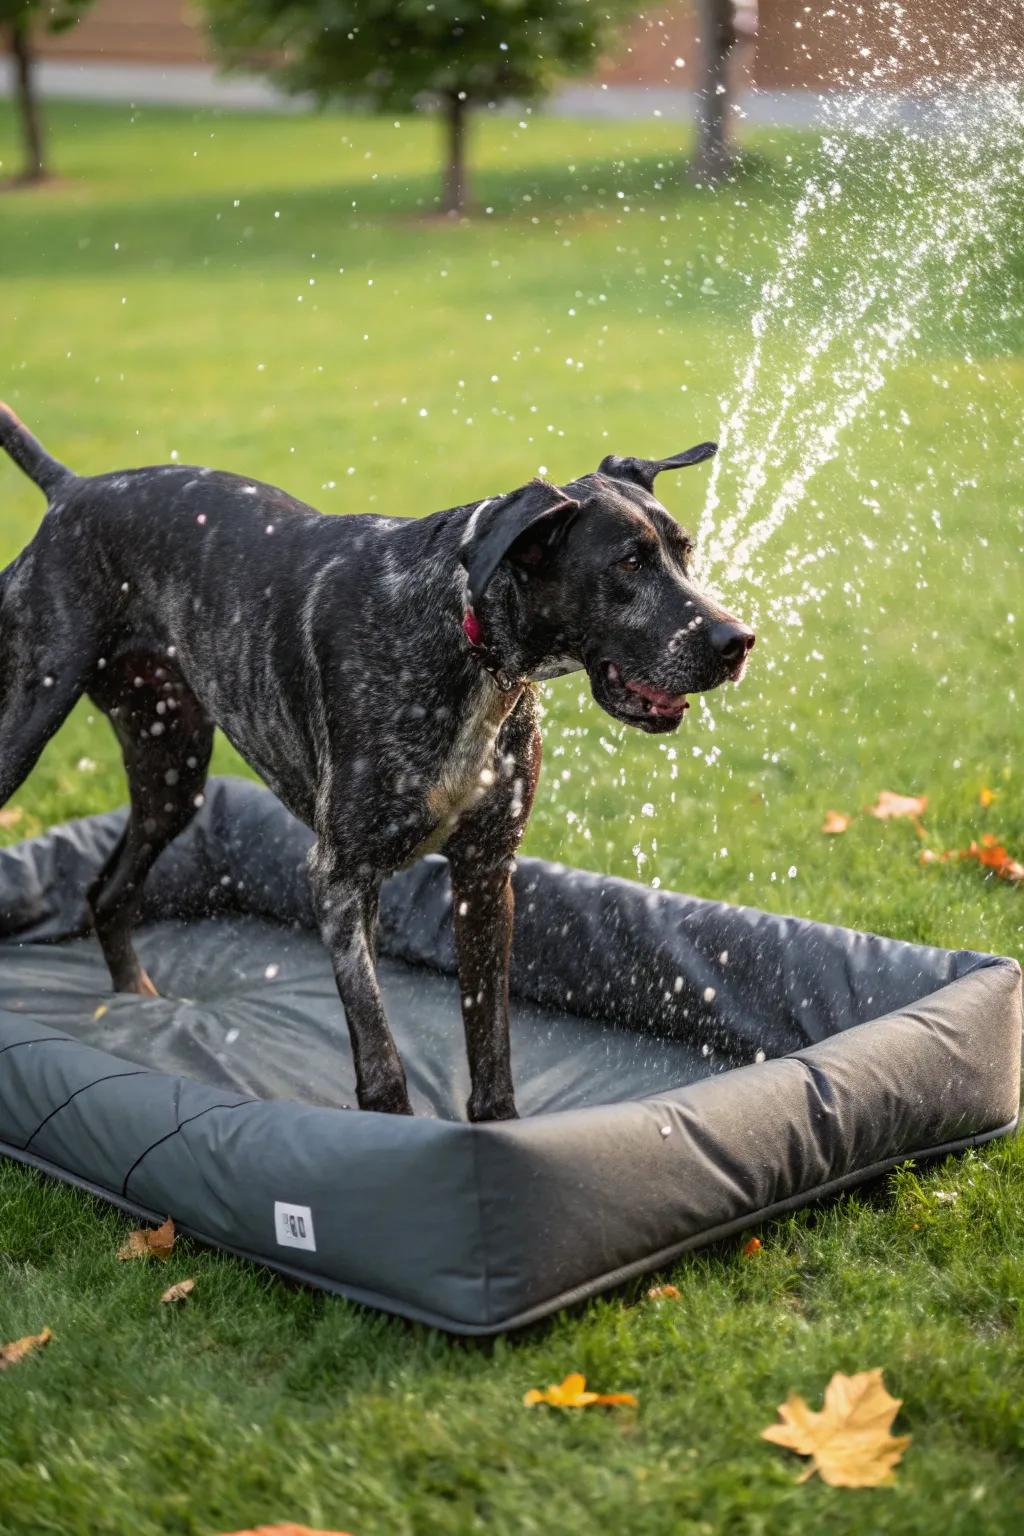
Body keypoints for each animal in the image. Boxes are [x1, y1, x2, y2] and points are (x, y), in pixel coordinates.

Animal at [0, 405, 752, 1130]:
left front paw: (501, 1132)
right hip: (29, 726)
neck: (467, 640)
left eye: (685, 553)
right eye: (627, 564)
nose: (738, 640)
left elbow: (490, 1037)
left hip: (171, 767)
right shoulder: (341, 878)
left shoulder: (485, 871)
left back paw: (140, 1001)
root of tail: (73, 490)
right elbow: (380, 1050)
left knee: (107, 891)